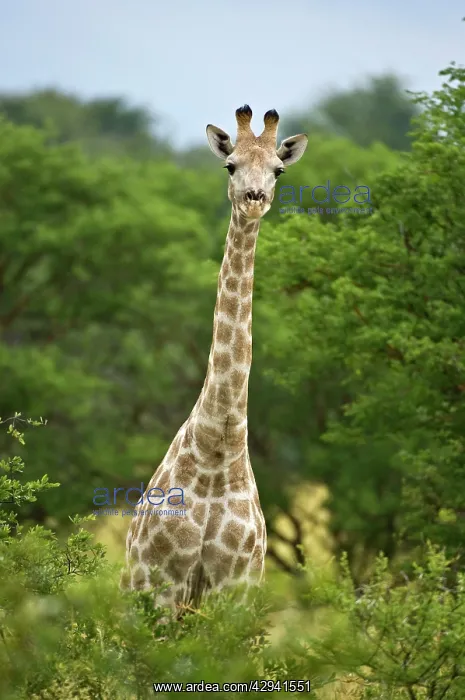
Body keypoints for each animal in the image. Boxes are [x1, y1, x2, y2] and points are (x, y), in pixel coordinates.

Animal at [121, 105, 308, 614]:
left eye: (278, 170)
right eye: (230, 165)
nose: (254, 198)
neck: (219, 447)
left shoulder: (236, 591)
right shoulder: (164, 585)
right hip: (132, 591)